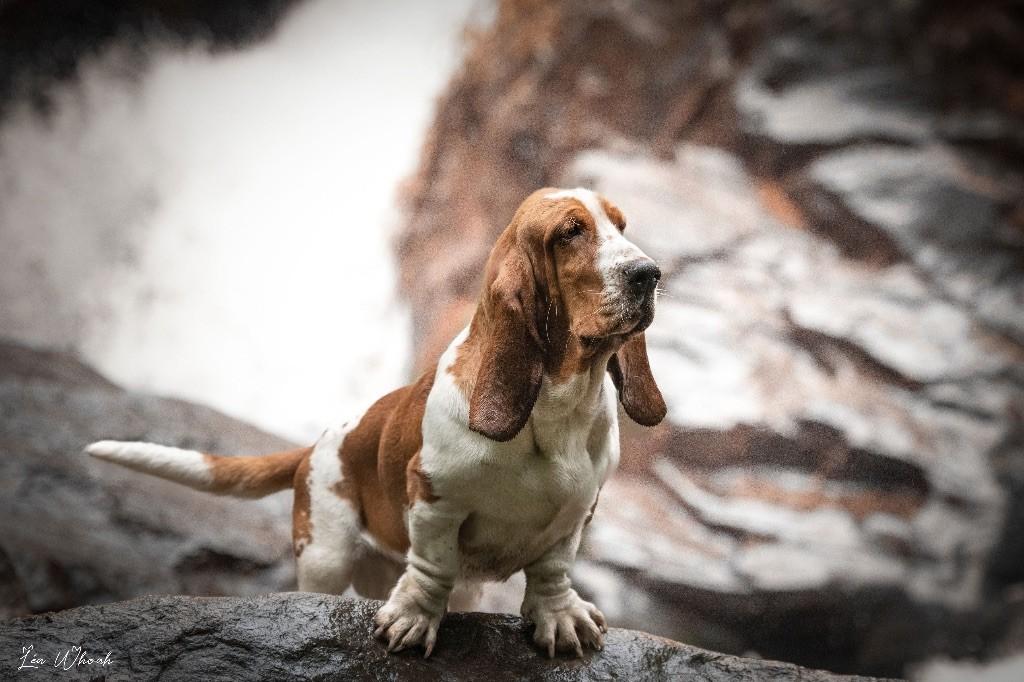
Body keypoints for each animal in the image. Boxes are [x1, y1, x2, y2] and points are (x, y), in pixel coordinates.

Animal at [86, 186, 663, 655]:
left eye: (621, 226)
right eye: (571, 232)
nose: (650, 274)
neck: (559, 406)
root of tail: (313, 446)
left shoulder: (575, 514)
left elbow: (552, 570)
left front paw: (560, 618)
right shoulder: (435, 499)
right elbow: (432, 566)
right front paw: (412, 620)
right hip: (325, 556)